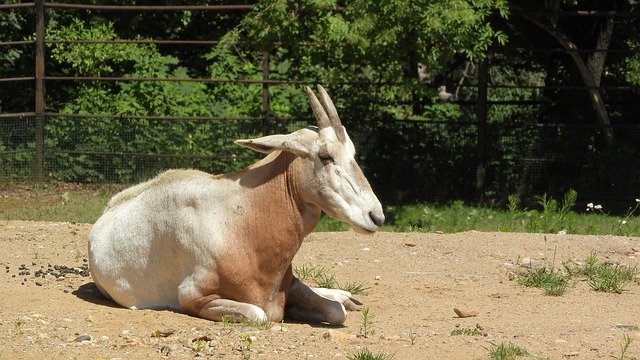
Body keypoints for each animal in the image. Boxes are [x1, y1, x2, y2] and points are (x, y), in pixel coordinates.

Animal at [87, 85, 382, 326]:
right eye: (324, 156)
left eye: (352, 153)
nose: (376, 217)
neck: (242, 221)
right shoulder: (193, 296)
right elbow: (259, 314)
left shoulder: (289, 285)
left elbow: (335, 312)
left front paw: (340, 301)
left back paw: (345, 296)